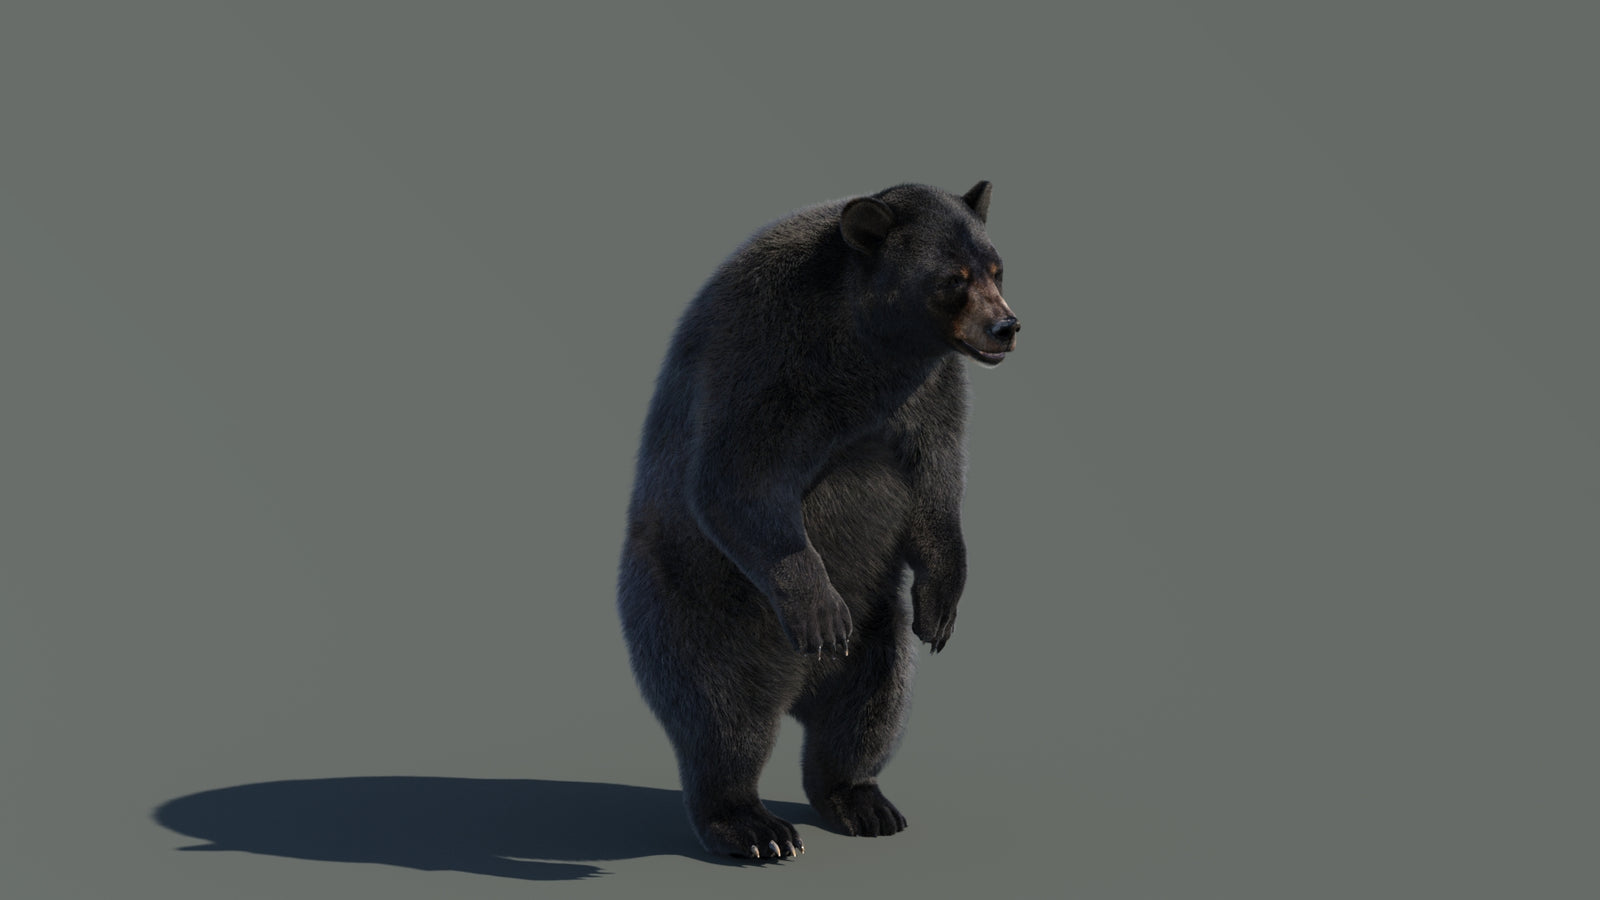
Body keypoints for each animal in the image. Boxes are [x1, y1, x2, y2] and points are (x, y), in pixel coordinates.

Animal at [617, 181, 1019, 860]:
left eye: (996, 269)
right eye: (952, 279)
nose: (1006, 327)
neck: (868, 345)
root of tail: (798, 688)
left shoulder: (929, 388)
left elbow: (936, 481)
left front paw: (941, 609)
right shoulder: (772, 356)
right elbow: (737, 478)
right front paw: (821, 611)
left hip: (879, 627)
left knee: (870, 708)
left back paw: (862, 799)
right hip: (698, 608)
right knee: (723, 717)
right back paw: (754, 826)